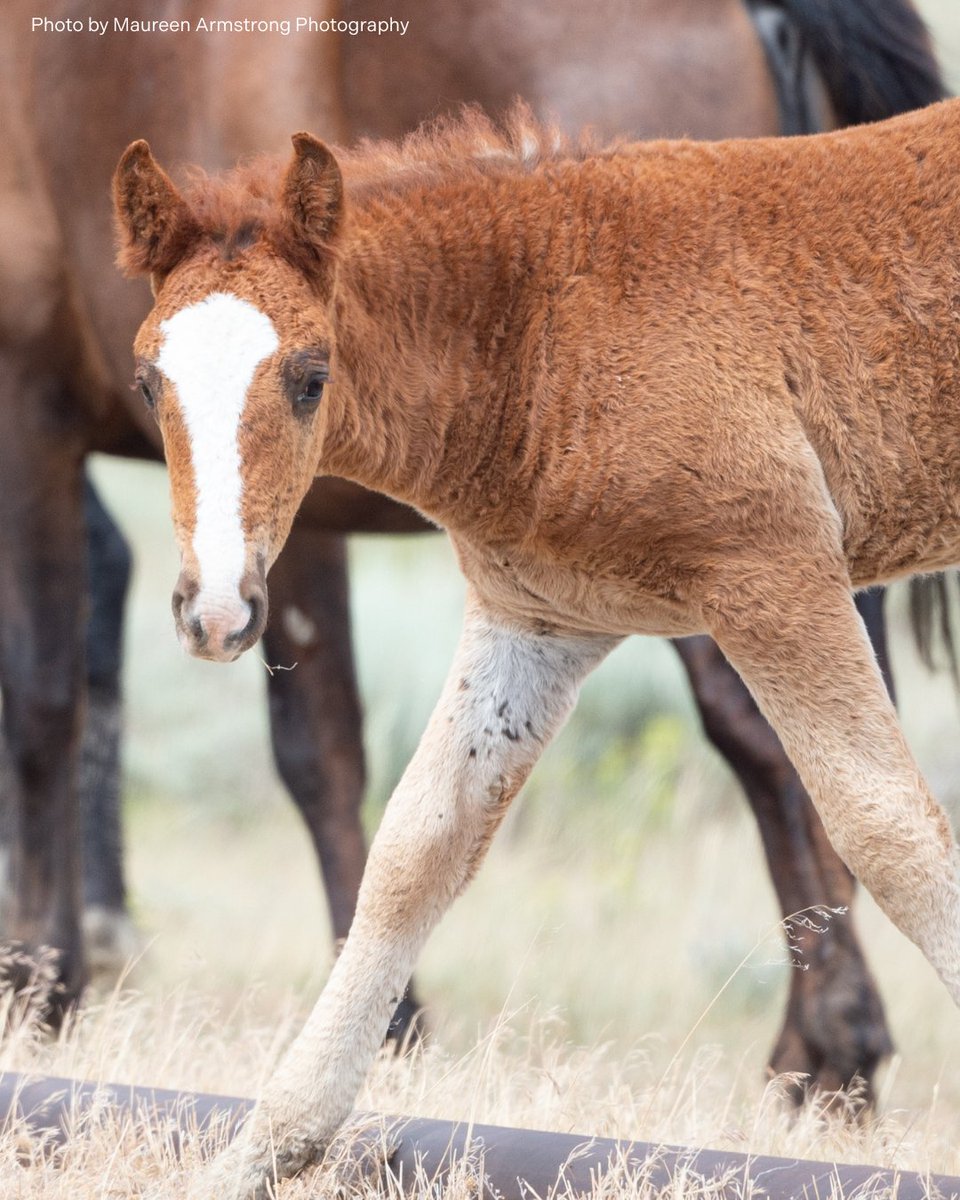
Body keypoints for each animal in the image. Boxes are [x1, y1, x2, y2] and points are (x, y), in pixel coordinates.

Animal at [0, 0, 940, 1087]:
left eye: (309, 380)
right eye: (151, 385)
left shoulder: (35, 415)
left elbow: (56, 703)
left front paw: (42, 977)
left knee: (772, 741)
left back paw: (831, 1043)